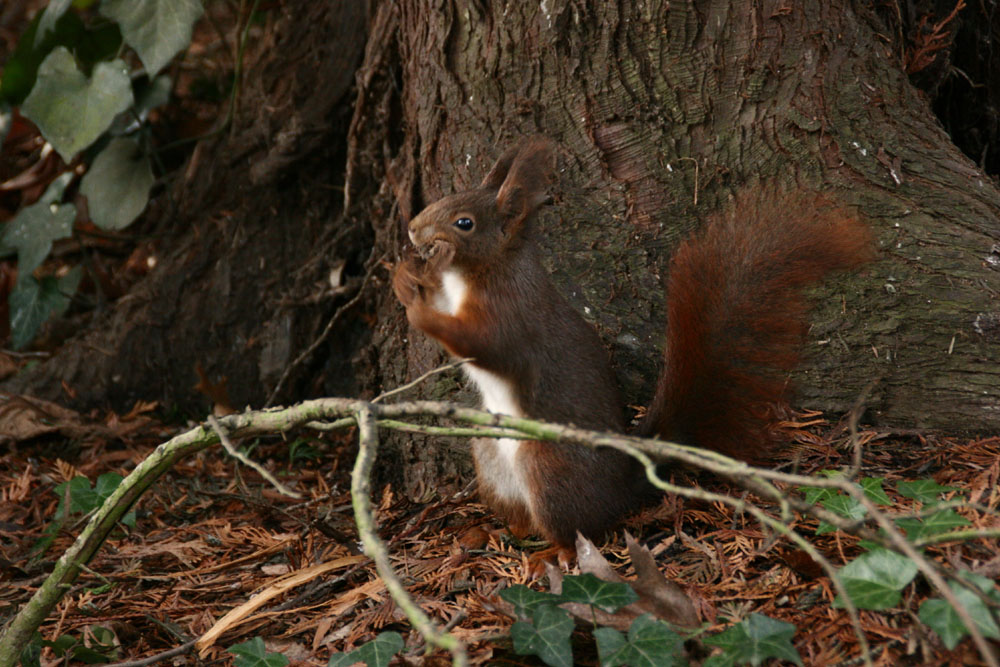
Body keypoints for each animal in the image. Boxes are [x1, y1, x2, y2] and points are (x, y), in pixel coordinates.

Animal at [392, 137, 876, 560]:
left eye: (465, 223)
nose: (412, 229)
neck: (481, 272)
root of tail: (622, 487)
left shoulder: (511, 315)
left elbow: (482, 343)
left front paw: (419, 308)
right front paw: (407, 279)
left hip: (549, 466)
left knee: (576, 530)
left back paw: (551, 556)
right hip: (489, 455)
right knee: (523, 517)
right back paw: (497, 533)